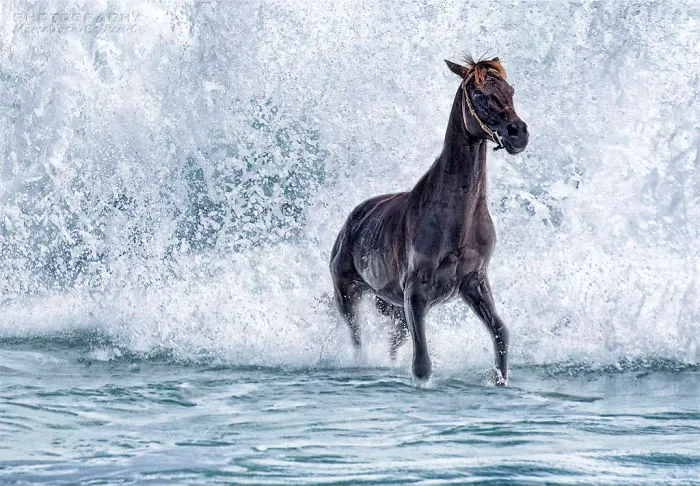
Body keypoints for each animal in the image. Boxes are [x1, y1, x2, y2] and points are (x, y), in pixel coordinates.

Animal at [329, 57, 528, 384]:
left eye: (510, 90)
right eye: (478, 94)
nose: (518, 134)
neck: (456, 222)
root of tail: (350, 223)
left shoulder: (474, 282)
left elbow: (500, 332)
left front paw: (499, 379)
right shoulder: (416, 292)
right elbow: (421, 363)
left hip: (394, 308)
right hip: (347, 294)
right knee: (356, 337)